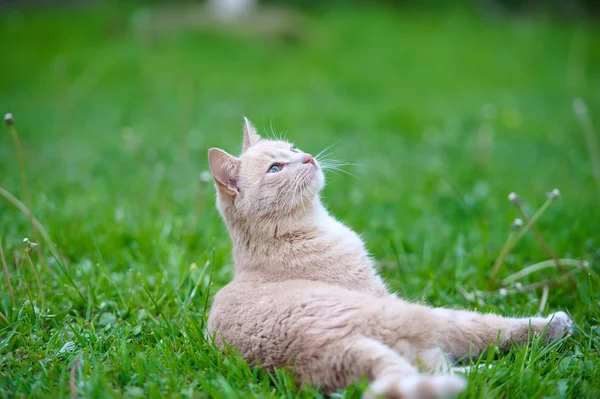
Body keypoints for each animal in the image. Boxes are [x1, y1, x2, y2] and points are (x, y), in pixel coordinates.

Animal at [206, 119, 572, 399]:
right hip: (421, 316)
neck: (286, 236)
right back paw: (542, 338)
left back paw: (494, 370)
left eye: (293, 149)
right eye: (275, 168)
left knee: (439, 371)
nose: (308, 158)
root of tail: (332, 349)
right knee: (479, 336)